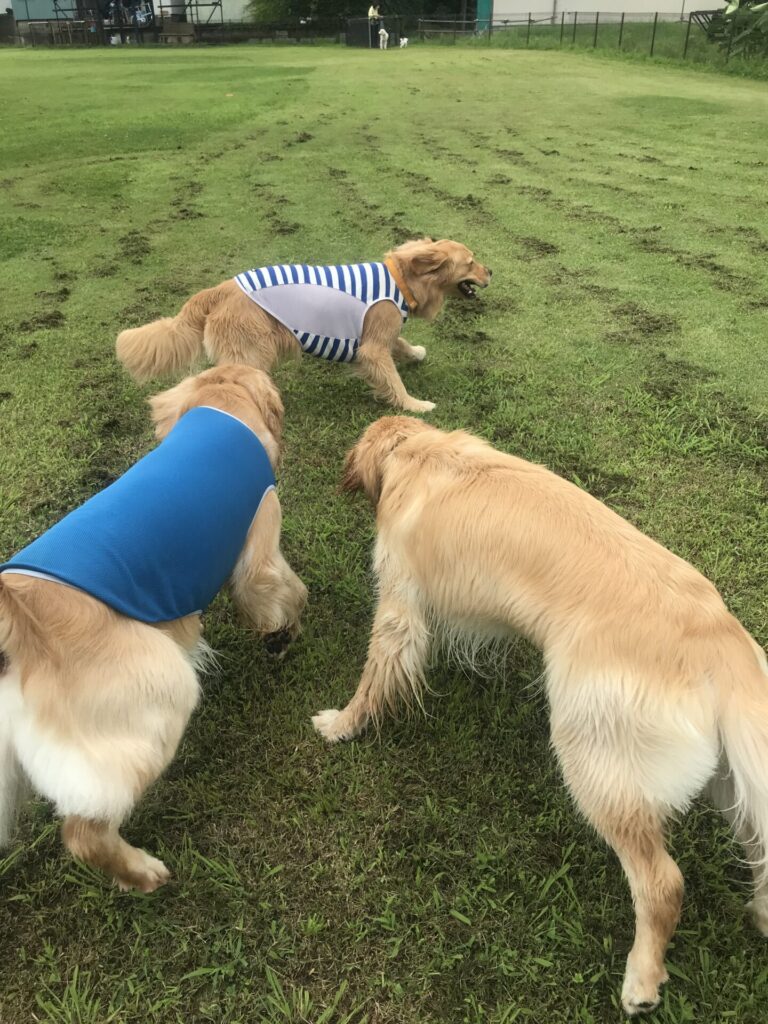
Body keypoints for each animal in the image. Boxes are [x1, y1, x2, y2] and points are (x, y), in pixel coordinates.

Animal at [0, 365, 307, 892]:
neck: (222, 409)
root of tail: (18, 618)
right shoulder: (259, 543)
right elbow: (281, 589)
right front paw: (285, 632)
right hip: (162, 683)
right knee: (84, 832)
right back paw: (142, 873)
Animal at [116, 238, 491, 414]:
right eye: (471, 262)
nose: (492, 271)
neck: (400, 280)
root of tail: (220, 289)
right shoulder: (373, 345)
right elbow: (393, 379)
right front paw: (415, 405)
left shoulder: (380, 336)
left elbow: (401, 345)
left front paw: (417, 353)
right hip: (251, 353)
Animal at [312, 416, 768, 1015]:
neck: (421, 450)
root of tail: (723, 640)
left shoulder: (399, 604)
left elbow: (373, 678)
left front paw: (342, 724)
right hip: (728, 778)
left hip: (595, 754)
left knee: (663, 883)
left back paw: (641, 982)